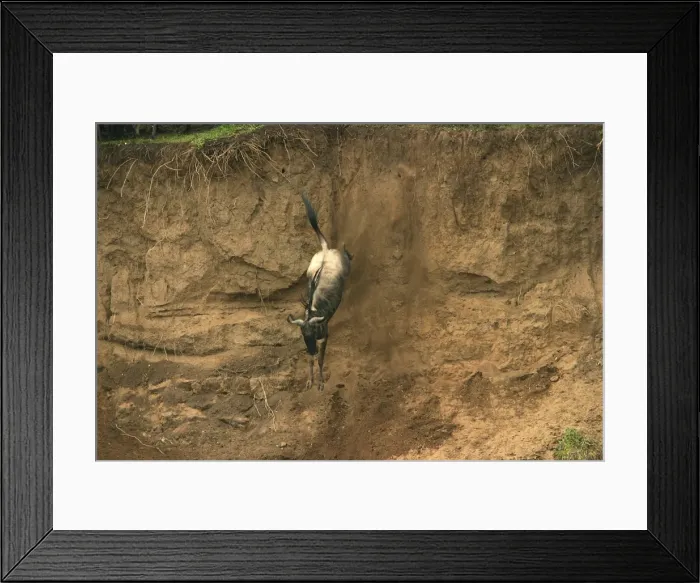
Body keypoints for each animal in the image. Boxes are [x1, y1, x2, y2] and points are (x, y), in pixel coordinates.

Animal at [287, 192, 352, 391]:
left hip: (346, 266)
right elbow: (310, 360)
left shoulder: (324, 338)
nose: (312, 349)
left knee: (348, 256)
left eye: (315, 331)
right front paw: (310, 381)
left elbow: (321, 360)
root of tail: (325, 251)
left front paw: (322, 383)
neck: (314, 312)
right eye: (303, 335)